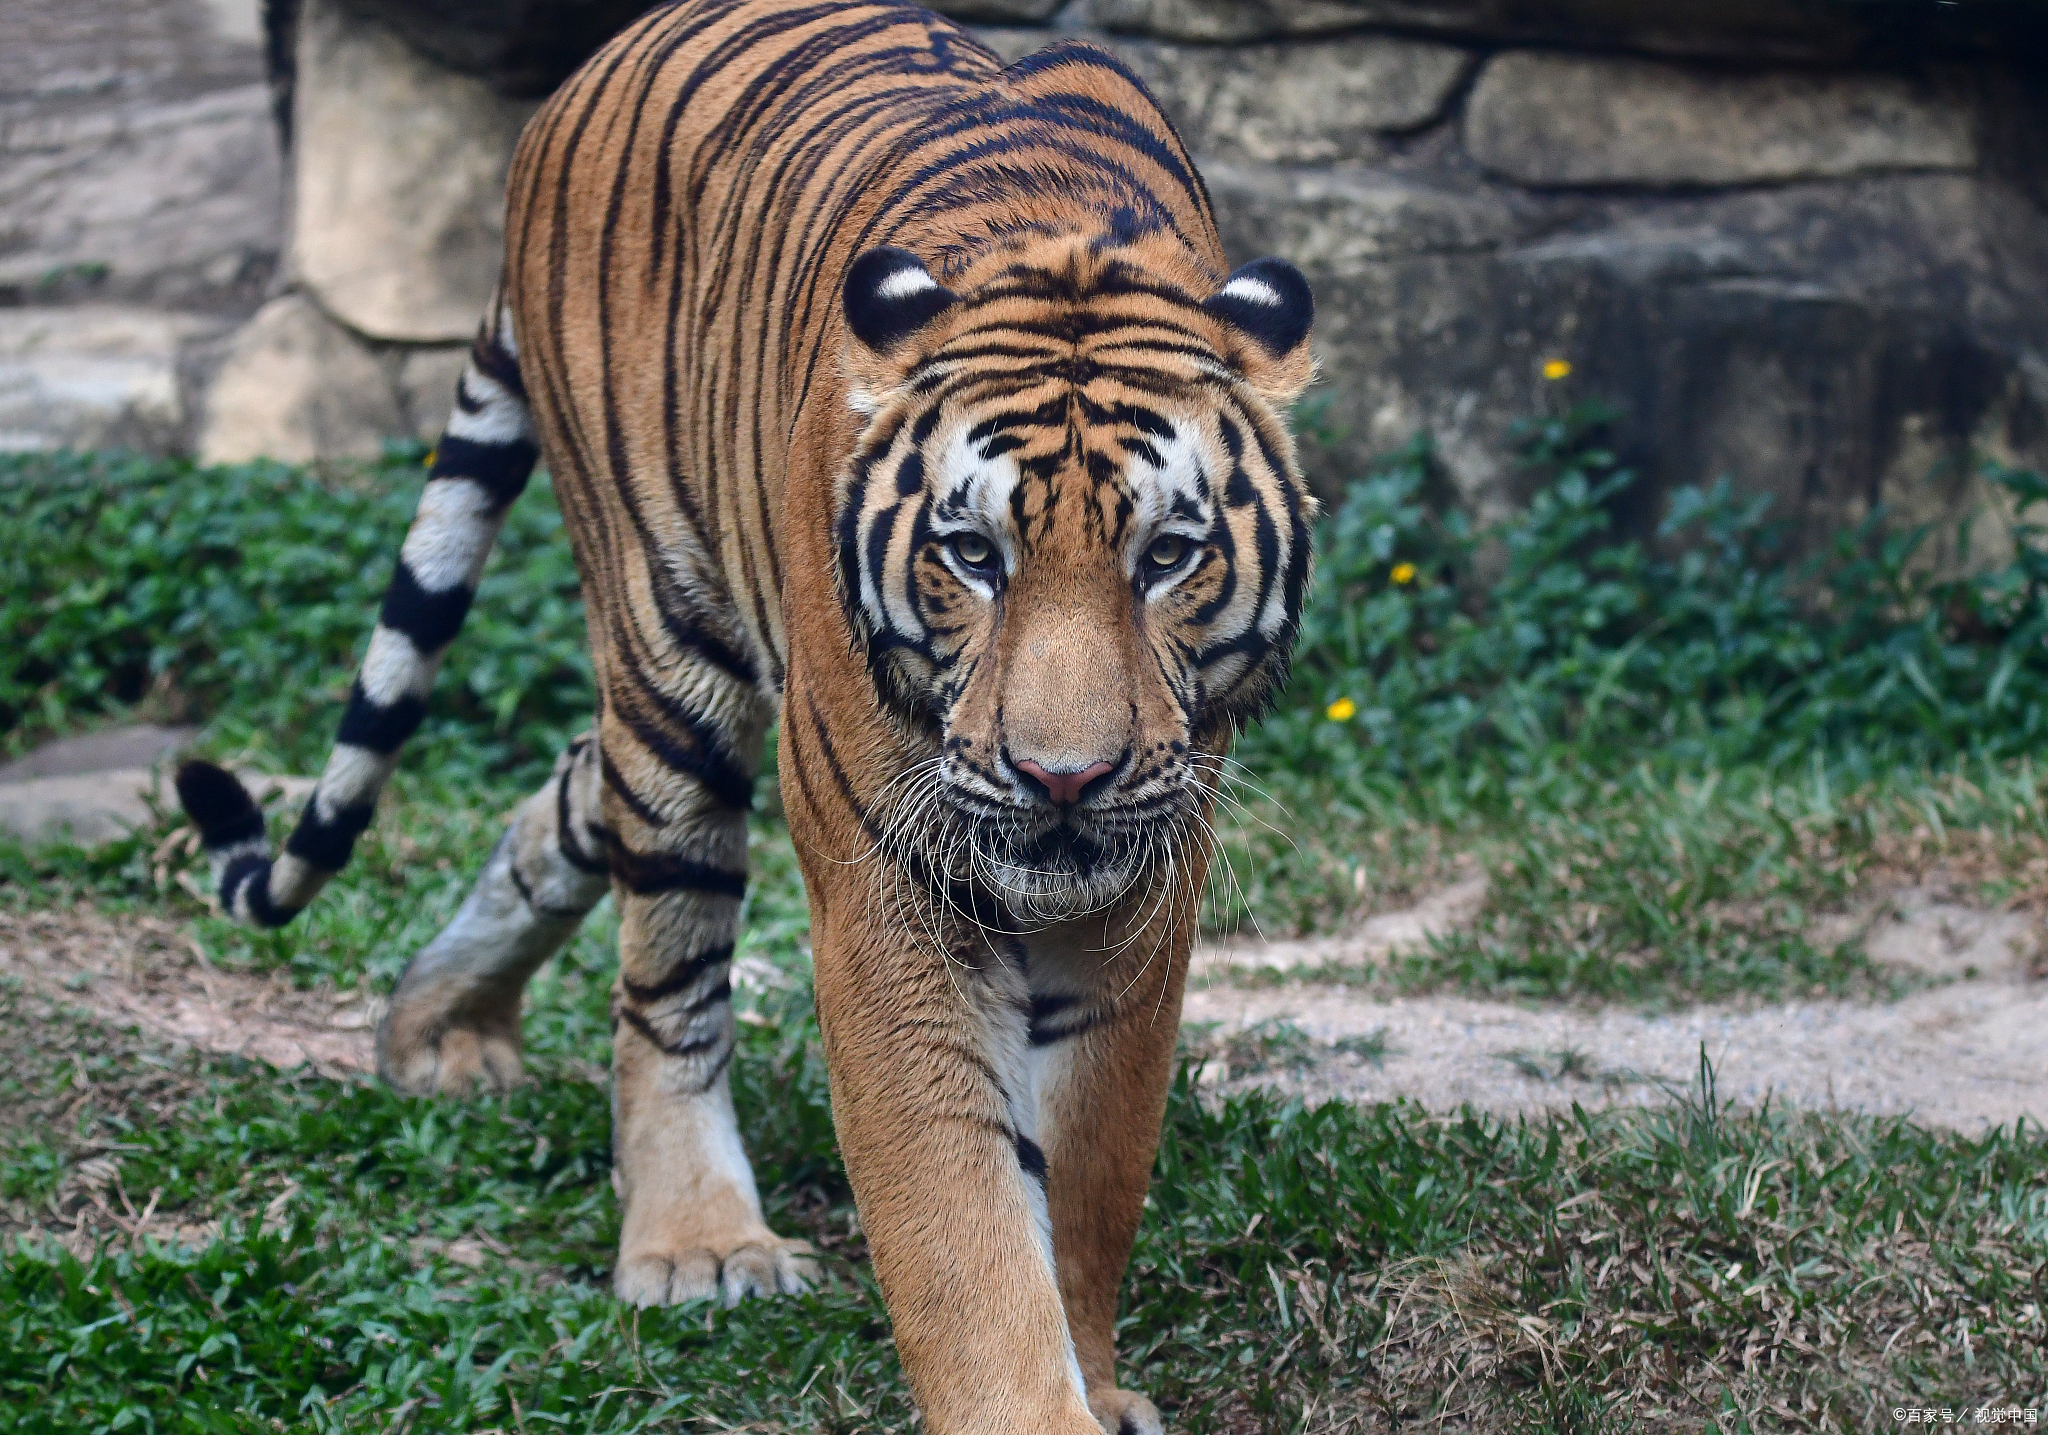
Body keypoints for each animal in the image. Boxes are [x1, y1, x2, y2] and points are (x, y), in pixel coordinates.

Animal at [184, 5, 1318, 1424]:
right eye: (972, 555)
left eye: (1166, 557)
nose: (1061, 778)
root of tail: (585, 71)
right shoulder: (887, 889)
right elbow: (961, 1225)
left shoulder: (1142, 885)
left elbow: (1091, 1173)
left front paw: (1095, 1382)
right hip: (672, 653)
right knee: (662, 969)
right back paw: (693, 1243)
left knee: (577, 793)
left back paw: (436, 1027)